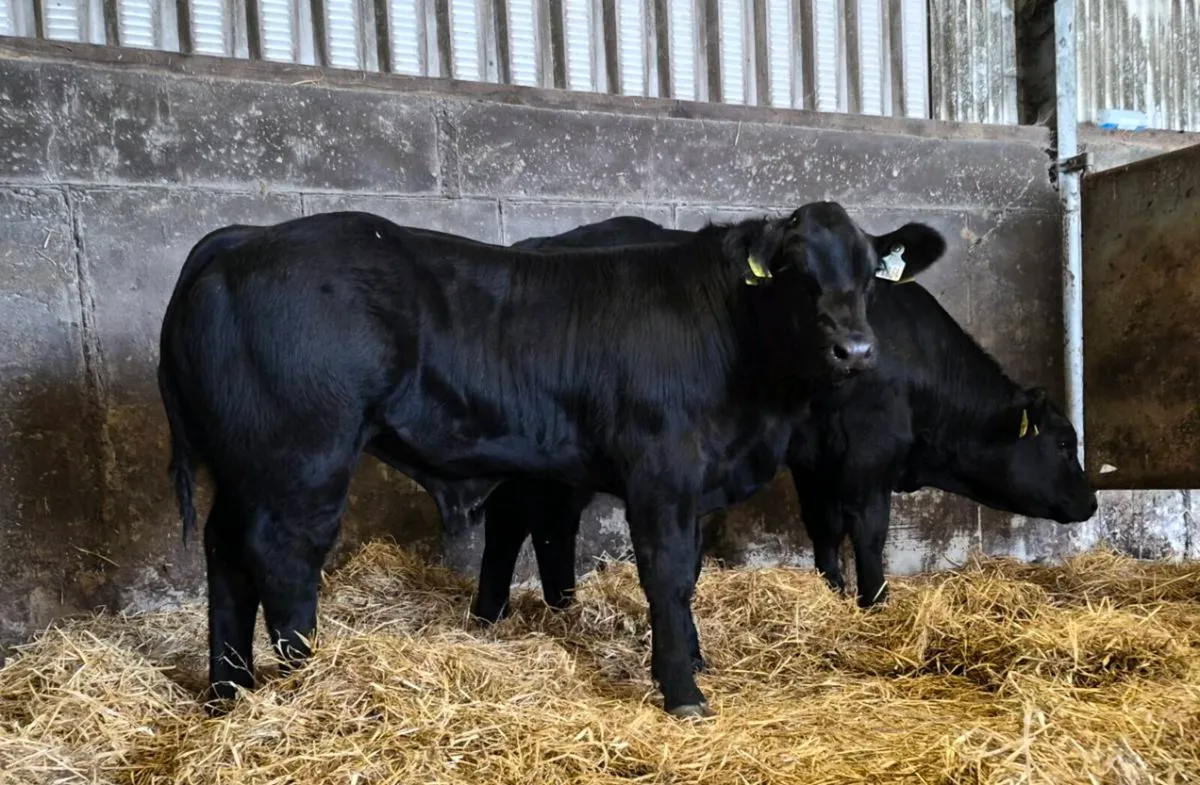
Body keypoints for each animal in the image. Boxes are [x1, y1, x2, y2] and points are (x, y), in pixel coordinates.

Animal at [157, 203, 949, 718]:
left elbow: (688, 575)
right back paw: (305, 683)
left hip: (245, 466)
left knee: (225, 554)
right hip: (303, 460)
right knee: (284, 563)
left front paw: (693, 659)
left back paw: (228, 693)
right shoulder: (661, 470)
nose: (855, 350)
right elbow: (666, 575)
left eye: (869, 275)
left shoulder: (694, 482)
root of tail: (242, 237)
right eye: (792, 271)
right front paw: (682, 692)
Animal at [469, 216, 1097, 676]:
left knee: (544, 523)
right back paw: (499, 615)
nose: (1090, 502)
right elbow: (867, 529)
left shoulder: (815, 459)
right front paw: (875, 603)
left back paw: (554, 608)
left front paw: (833, 592)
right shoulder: (869, 450)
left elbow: (823, 527)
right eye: (1064, 441)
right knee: (516, 517)